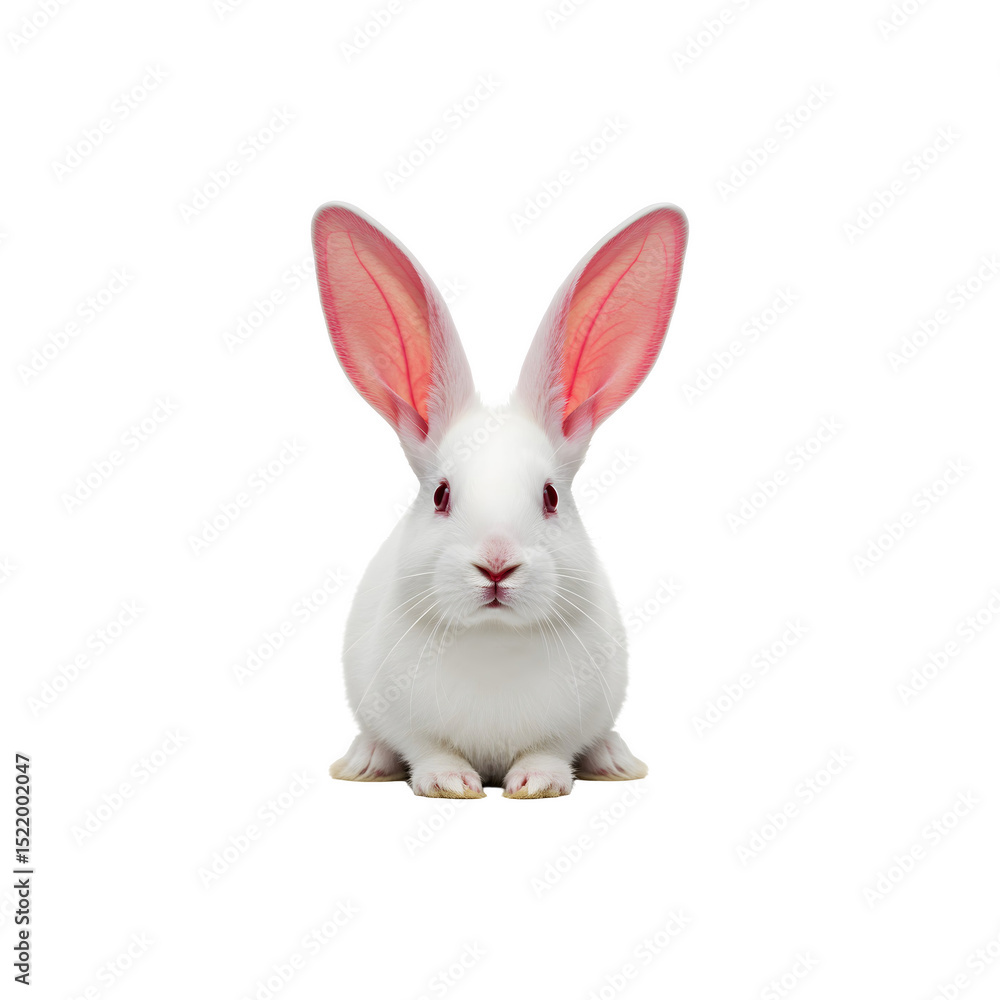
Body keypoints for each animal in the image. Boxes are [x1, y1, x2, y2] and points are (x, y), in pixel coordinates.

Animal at [313, 202, 687, 798]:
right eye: (440, 494)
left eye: (551, 495)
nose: (496, 564)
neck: (493, 641)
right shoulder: (404, 717)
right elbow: (428, 750)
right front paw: (450, 783)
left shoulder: (571, 720)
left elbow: (551, 750)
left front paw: (536, 784)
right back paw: (364, 761)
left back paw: (614, 758)